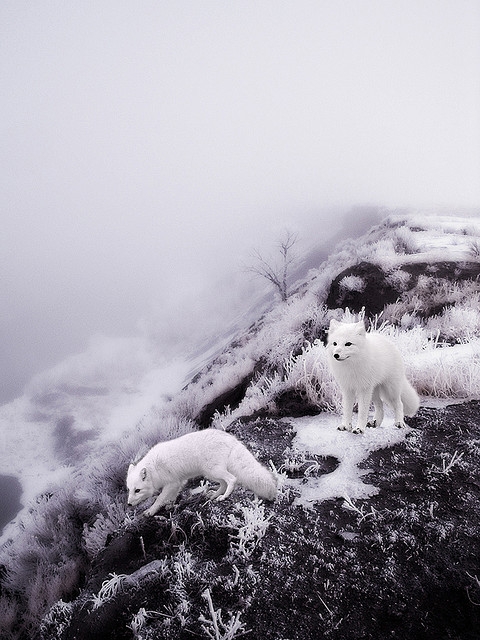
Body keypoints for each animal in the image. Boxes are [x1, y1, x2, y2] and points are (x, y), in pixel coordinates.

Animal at [126, 428, 277, 516]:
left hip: (213, 470)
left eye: (137, 490)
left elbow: (159, 498)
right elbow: (172, 496)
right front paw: (170, 504)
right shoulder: (179, 482)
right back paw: (214, 495)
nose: (128, 504)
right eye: (129, 489)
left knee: (232, 479)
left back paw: (223, 497)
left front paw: (150, 511)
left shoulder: (172, 482)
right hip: (210, 472)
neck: (153, 469)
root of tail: (230, 438)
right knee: (223, 483)